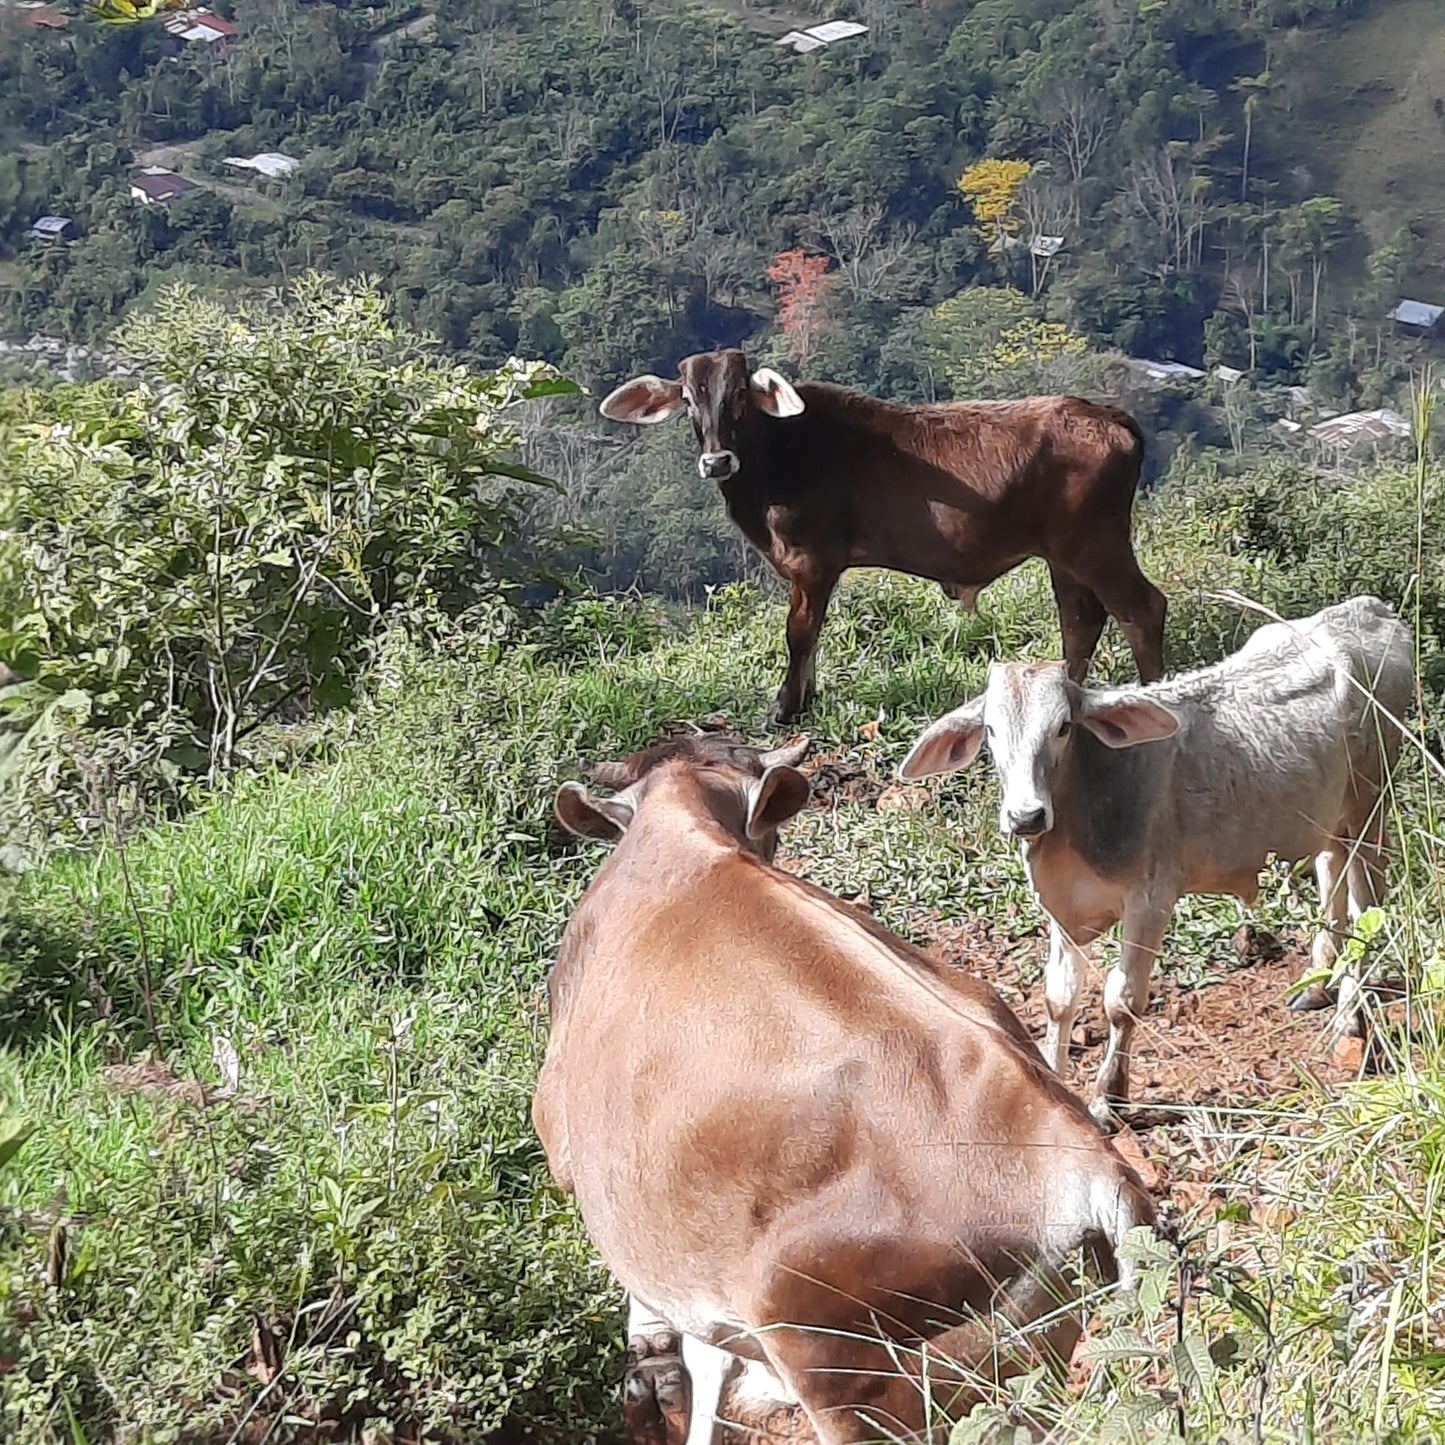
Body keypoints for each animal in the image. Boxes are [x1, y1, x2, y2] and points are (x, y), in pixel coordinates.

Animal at [592, 343, 1167, 716]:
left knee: (1140, 609)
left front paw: (787, 708)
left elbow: (799, 633)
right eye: (690, 401)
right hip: (1063, 554)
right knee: (1081, 621)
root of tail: (1105, 415)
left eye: (738, 397)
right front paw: (806, 699)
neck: (779, 457)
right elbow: (812, 634)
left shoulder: (813, 561)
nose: (716, 461)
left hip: (1094, 543)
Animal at [895, 592, 1416, 1121]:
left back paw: (1351, 1019)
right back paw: (1317, 983)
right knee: (1333, 880)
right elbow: (1059, 996)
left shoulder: (1151, 900)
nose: (1026, 816)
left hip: (1371, 809)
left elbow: (1122, 1000)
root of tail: (1370, 609)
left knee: (1366, 905)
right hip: (1329, 823)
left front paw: (1108, 1097)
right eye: (991, 730)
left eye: (1063, 727)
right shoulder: (1061, 907)